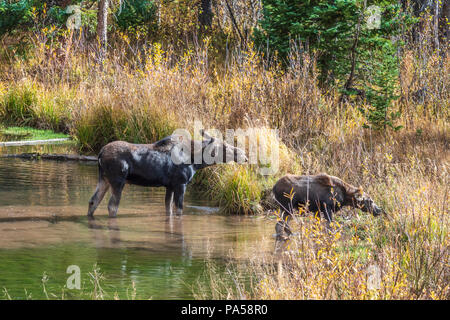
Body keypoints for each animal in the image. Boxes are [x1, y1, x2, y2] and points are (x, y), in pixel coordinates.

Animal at [86, 130, 248, 218]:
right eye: (224, 146)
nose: (244, 154)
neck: (197, 162)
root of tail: (100, 154)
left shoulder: (169, 186)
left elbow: (168, 208)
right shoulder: (181, 183)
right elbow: (179, 209)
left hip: (104, 179)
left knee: (93, 201)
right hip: (118, 181)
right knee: (112, 206)